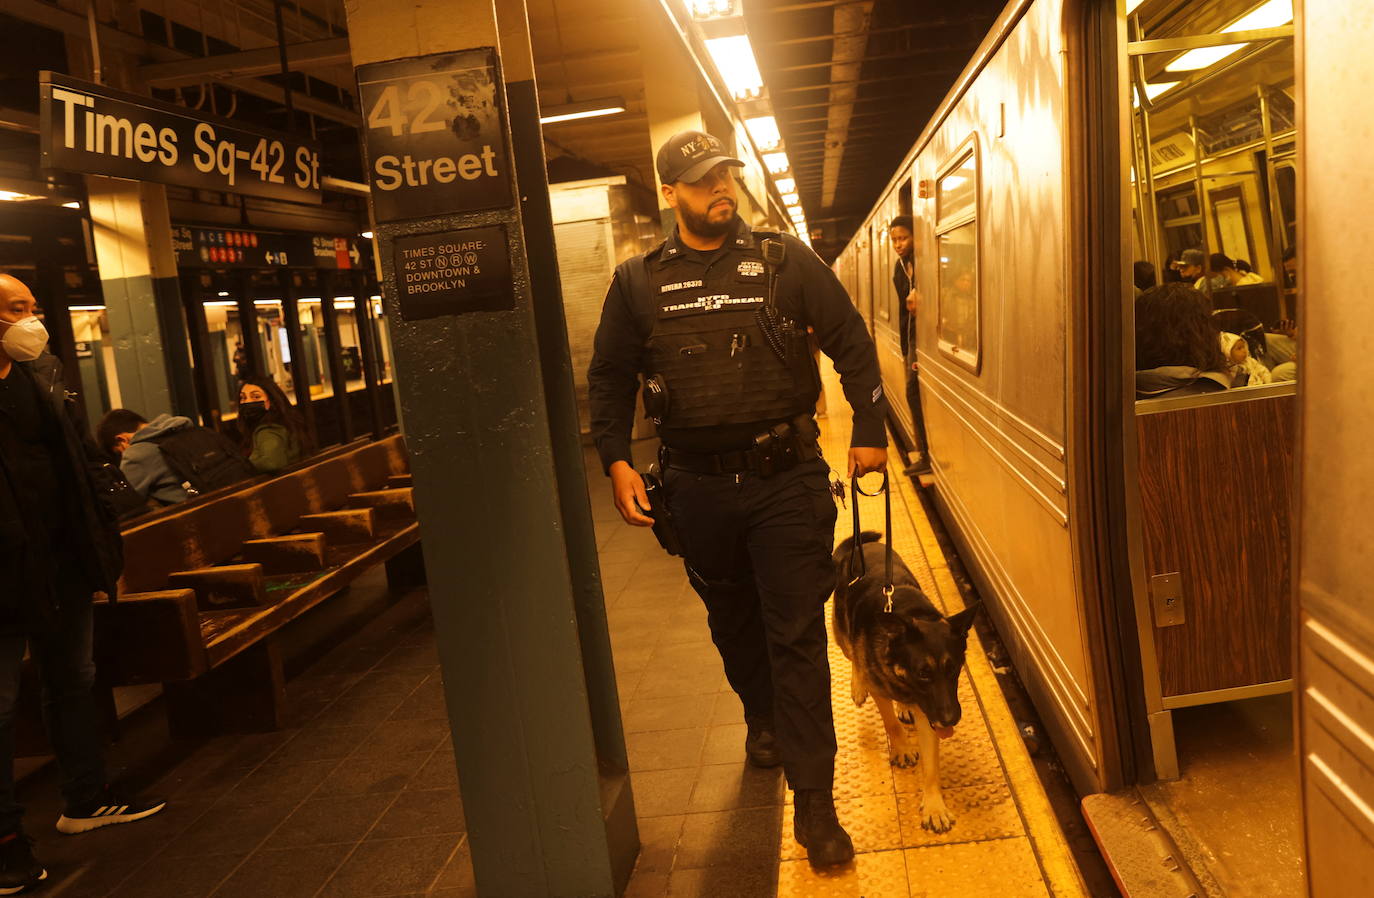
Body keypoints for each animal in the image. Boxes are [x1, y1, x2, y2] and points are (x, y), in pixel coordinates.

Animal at [824, 530, 978, 834]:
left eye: (954, 669)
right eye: (923, 673)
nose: (950, 720)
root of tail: (859, 545)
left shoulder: (929, 713)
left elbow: (931, 766)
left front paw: (934, 806)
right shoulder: (885, 691)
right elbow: (891, 724)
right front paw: (903, 748)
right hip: (842, 635)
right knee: (853, 656)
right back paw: (858, 685)